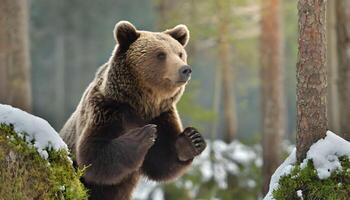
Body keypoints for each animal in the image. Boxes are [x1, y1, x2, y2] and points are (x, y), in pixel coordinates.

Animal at [59, 21, 208, 199]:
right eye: (161, 54)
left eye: (180, 54)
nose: (185, 69)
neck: (140, 104)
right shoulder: (106, 109)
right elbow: (92, 156)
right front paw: (143, 134)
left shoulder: (161, 114)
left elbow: (161, 161)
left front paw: (193, 139)